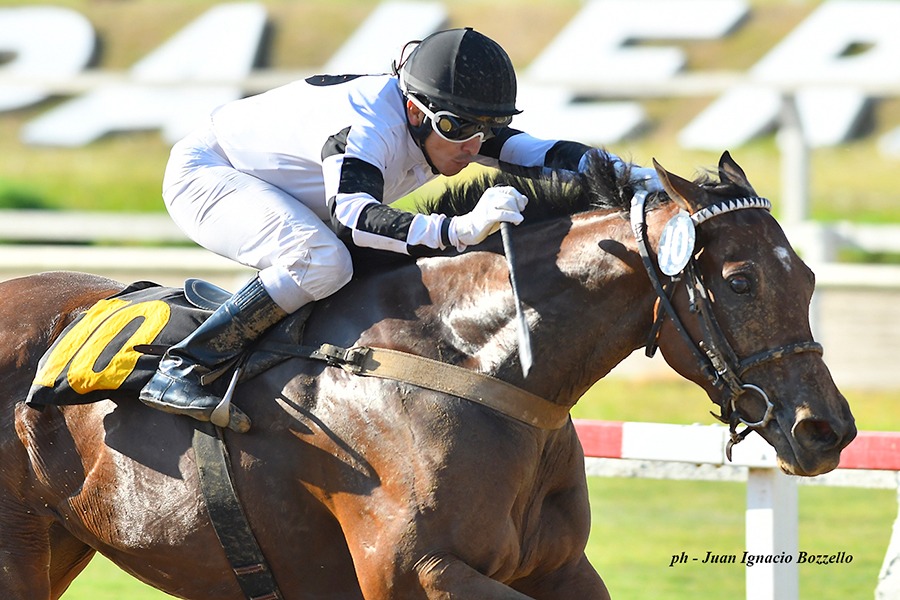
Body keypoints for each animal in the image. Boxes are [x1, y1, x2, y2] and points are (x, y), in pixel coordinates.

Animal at [0, 151, 856, 599]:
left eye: (811, 278)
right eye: (741, 282)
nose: (828, 430)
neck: (470, 364)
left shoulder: (560, 568)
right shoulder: (414, 573)